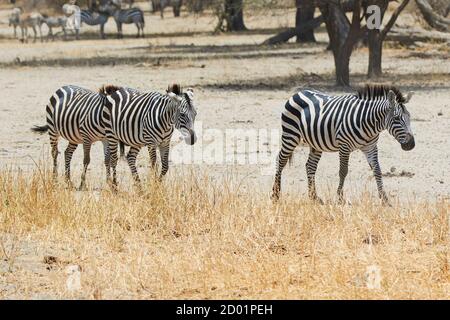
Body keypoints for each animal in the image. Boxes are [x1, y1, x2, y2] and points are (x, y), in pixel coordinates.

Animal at [270, 84, 414, 205]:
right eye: (396, 119)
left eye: (409, 117)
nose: (411, 145)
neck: (369, 122)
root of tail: (299, 92)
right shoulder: (345, 146)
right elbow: (343, 171)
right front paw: (340, 198)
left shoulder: (370, 147)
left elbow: (377, 170)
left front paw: (385, 199)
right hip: (290, 135)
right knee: (280, 160)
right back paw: (275, 195)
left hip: (315, 143)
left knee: (310, 166)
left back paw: (314, 197)